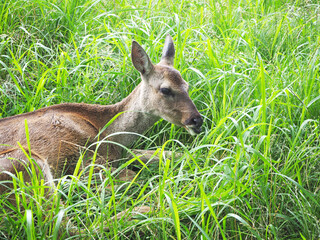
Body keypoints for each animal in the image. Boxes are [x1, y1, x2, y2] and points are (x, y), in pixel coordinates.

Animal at [0, 35, 202, 218]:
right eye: (165, 89)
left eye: (187, 85)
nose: (196, 120)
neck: (110, 131)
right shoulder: (89, 163)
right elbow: (135, 176)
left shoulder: (121, 152)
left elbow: (169, 153)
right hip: (27, 163)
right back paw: (151, 210)